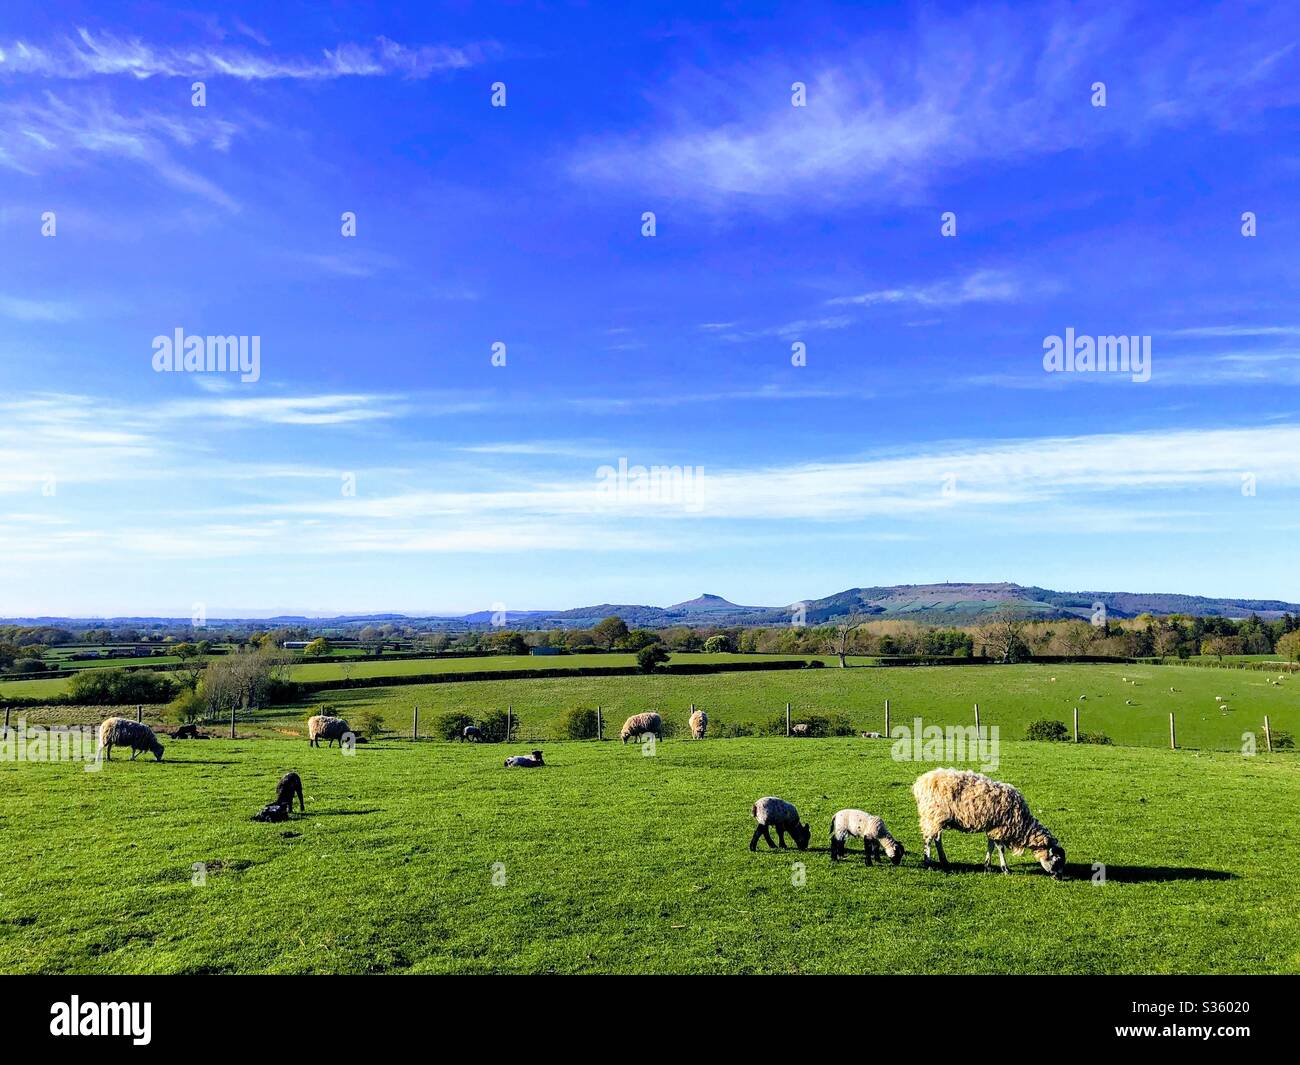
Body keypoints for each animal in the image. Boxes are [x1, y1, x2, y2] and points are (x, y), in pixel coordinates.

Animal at [912, 768, 1066, 879]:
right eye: (1057, 860)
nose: (1059, 877)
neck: (1022, 824)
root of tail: (921, 782)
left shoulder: (993, 828)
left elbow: (991, 846)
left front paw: (987, 866)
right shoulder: (1000, 828)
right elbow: (1000, 848)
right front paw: (1005, 869)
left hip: (938, 819)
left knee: (937, 838)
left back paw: (944, 861)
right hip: (932, 815)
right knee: (928, 839)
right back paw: (928, 863)